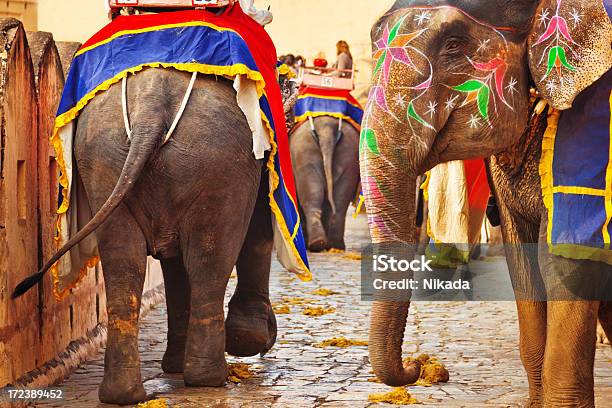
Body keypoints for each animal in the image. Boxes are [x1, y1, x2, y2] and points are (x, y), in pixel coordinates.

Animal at [290, 115, 360, 252]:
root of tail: (326, 127)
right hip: (349, 154)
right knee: (340, 201)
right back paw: (334, 245)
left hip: (303, 153)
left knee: (311, 197)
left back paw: (317, 244)